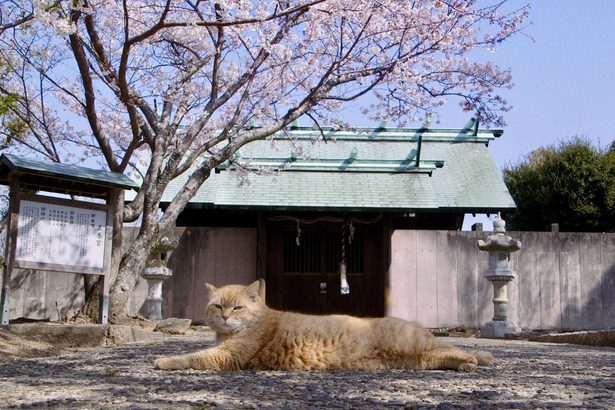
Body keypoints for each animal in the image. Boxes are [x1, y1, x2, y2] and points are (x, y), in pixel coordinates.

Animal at [154, 282, 496, 372]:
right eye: (218, 306)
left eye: (237, 307)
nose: (225, 316)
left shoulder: (226, 356)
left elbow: (192, 357)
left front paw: (162, 360)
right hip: (419, 359)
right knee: (447, 352)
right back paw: (473, 362)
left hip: (414, 345)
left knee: (453, 347)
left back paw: (476, 359)